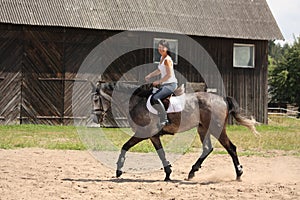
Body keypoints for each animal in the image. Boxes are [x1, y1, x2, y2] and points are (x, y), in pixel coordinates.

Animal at [90, 81, 258, 181]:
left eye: (96, 99)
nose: (96, 118)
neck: (138, 101)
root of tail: (222, 99)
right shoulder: (153, 136)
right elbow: (161, 153)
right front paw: (168, 173)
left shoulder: (143, 133)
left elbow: (125, 146)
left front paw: (118, 170)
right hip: (203, 129)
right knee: (207, 148)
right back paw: (192, 171)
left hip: (217, 129)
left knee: (231, 148)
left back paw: (239, 173)